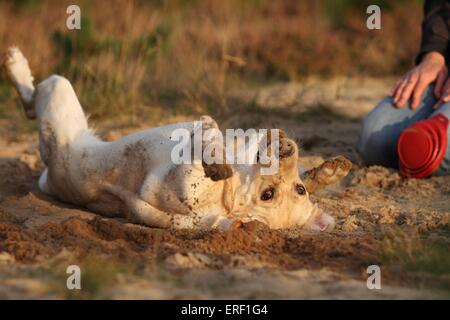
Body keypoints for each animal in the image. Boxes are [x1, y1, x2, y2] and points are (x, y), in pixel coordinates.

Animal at [3, 47, 352, 231]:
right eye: (298, 189)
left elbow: (212, 145)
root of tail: (49, 180)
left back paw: (14, 62)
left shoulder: (183, 184)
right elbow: (226, 136)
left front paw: (214, 152)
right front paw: (327, 170)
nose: (288, 148)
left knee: (33, 98)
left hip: (60, 102)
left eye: (268, 196)